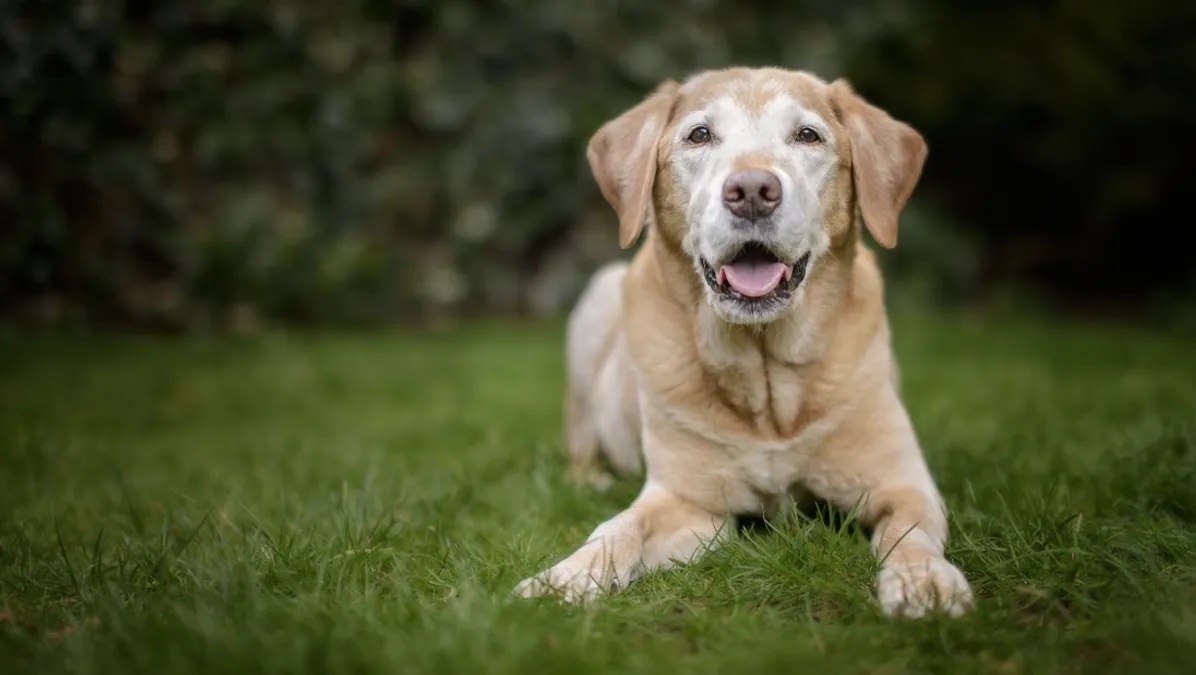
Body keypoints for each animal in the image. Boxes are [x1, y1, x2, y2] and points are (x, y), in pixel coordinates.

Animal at [514, 67, 971, 617]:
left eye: (807, 135)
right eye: (699, 135)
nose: (752, 189)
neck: (766, 377)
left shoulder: (903, 483)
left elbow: (911, 533)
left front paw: (924, 579)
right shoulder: (687, 501)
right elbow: (619, 528)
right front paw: (563, 578)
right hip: (599, 299)